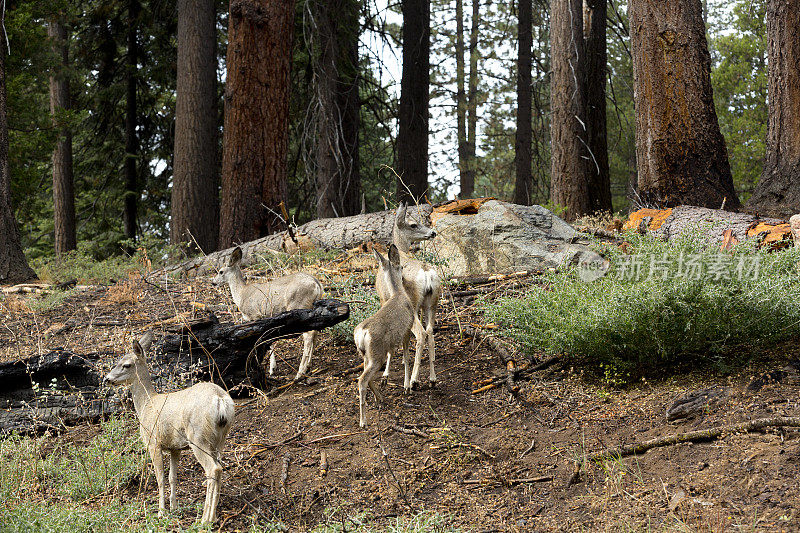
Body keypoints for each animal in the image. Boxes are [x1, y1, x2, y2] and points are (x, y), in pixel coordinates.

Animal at [104, 332, 233, 524]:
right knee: (219, 468)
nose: (107, 378)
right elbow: (173, 477)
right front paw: (174, 507)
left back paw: (205, 519)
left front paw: (161, 511)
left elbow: (160, 478)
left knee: (213, 469)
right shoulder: (175, 447)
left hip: (198, 436)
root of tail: (220, 400)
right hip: (220, 438)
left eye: (126, 364)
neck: (146, 404)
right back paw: (214, 516)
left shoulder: (153, 443)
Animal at [216, 247, 324, 380]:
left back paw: (300, 373)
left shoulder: (255, 315)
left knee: (309, 335)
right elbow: (269, 341)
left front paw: (265, 367)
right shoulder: (267, 318)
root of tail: (317, 284)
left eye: (220, 271)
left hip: (299, 306)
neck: (241, 295)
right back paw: (309, 366)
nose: (213, 282)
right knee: (315, 332)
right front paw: (272, 368)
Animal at [354, 245, 416, 428]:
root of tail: (362, 333)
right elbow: (407, 357)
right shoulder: (406, 329)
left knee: (364, 375)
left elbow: (392, 353)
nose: (403, 275)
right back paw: (363, 421)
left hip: (367, 354)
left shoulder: (391, 342)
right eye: (401, 266)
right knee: (361, 379)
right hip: (376, 354)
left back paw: (379, 398)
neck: (398, 294)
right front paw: (407, 386)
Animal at [376, 202, 444, 388]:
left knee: (421, 333)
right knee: (430, 332)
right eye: (413, 224)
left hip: (412, 305)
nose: (432, 232)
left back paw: (413, 380)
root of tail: (427, 273)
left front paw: (386, 373)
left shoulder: (384, 299)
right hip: (431, 303)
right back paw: (432, 378)